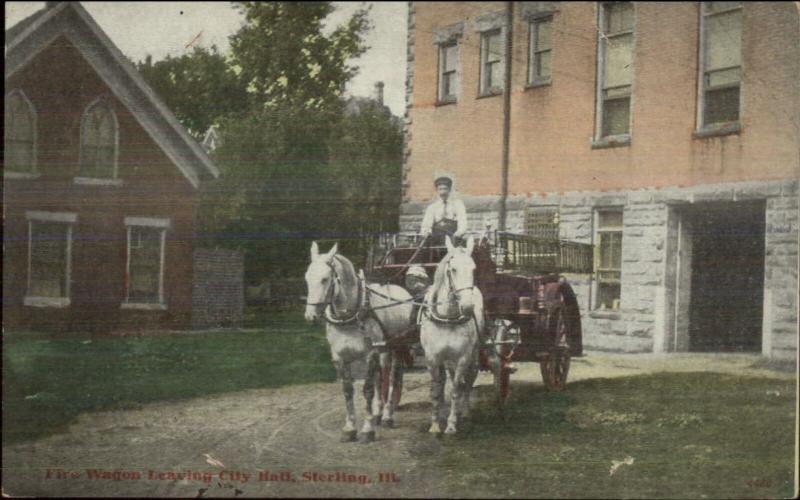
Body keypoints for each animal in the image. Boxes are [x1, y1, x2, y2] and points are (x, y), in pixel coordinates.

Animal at [302, 242, 412, 442]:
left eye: (324, 279)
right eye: (307, 278)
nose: (310, 316)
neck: (350, 317)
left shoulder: (369, 355)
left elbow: (367, 389)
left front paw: (367, 430)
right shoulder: (340, 358)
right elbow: (347, 390)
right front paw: (350, 428)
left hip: (397, 347)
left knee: (393, 377)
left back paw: (388, 415)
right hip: (384, 350)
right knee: (381, 377)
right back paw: (378, 413)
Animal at [422, 235, 484, 434]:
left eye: (473, 268)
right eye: (453, 269)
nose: (468, 307)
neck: (447, 319)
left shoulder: (462, 358)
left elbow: (457, 389)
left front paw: (451, 423)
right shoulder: (432, 358)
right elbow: (436, 390)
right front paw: (435, 424)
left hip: (473, 354)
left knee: (469, 380)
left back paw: (465, 412)